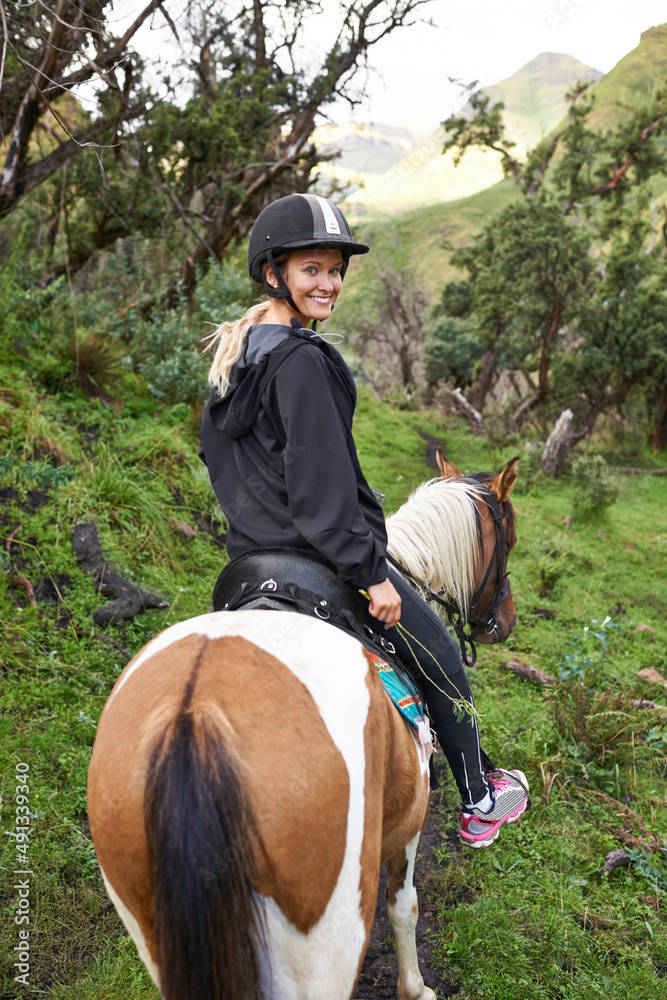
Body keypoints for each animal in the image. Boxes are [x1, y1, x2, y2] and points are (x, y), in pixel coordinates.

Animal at [86, 454, 520, 1000]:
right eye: (511, 539)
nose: (507, 620)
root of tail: (195, 720)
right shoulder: (407, 825)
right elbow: (405, 908)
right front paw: (417, 989)